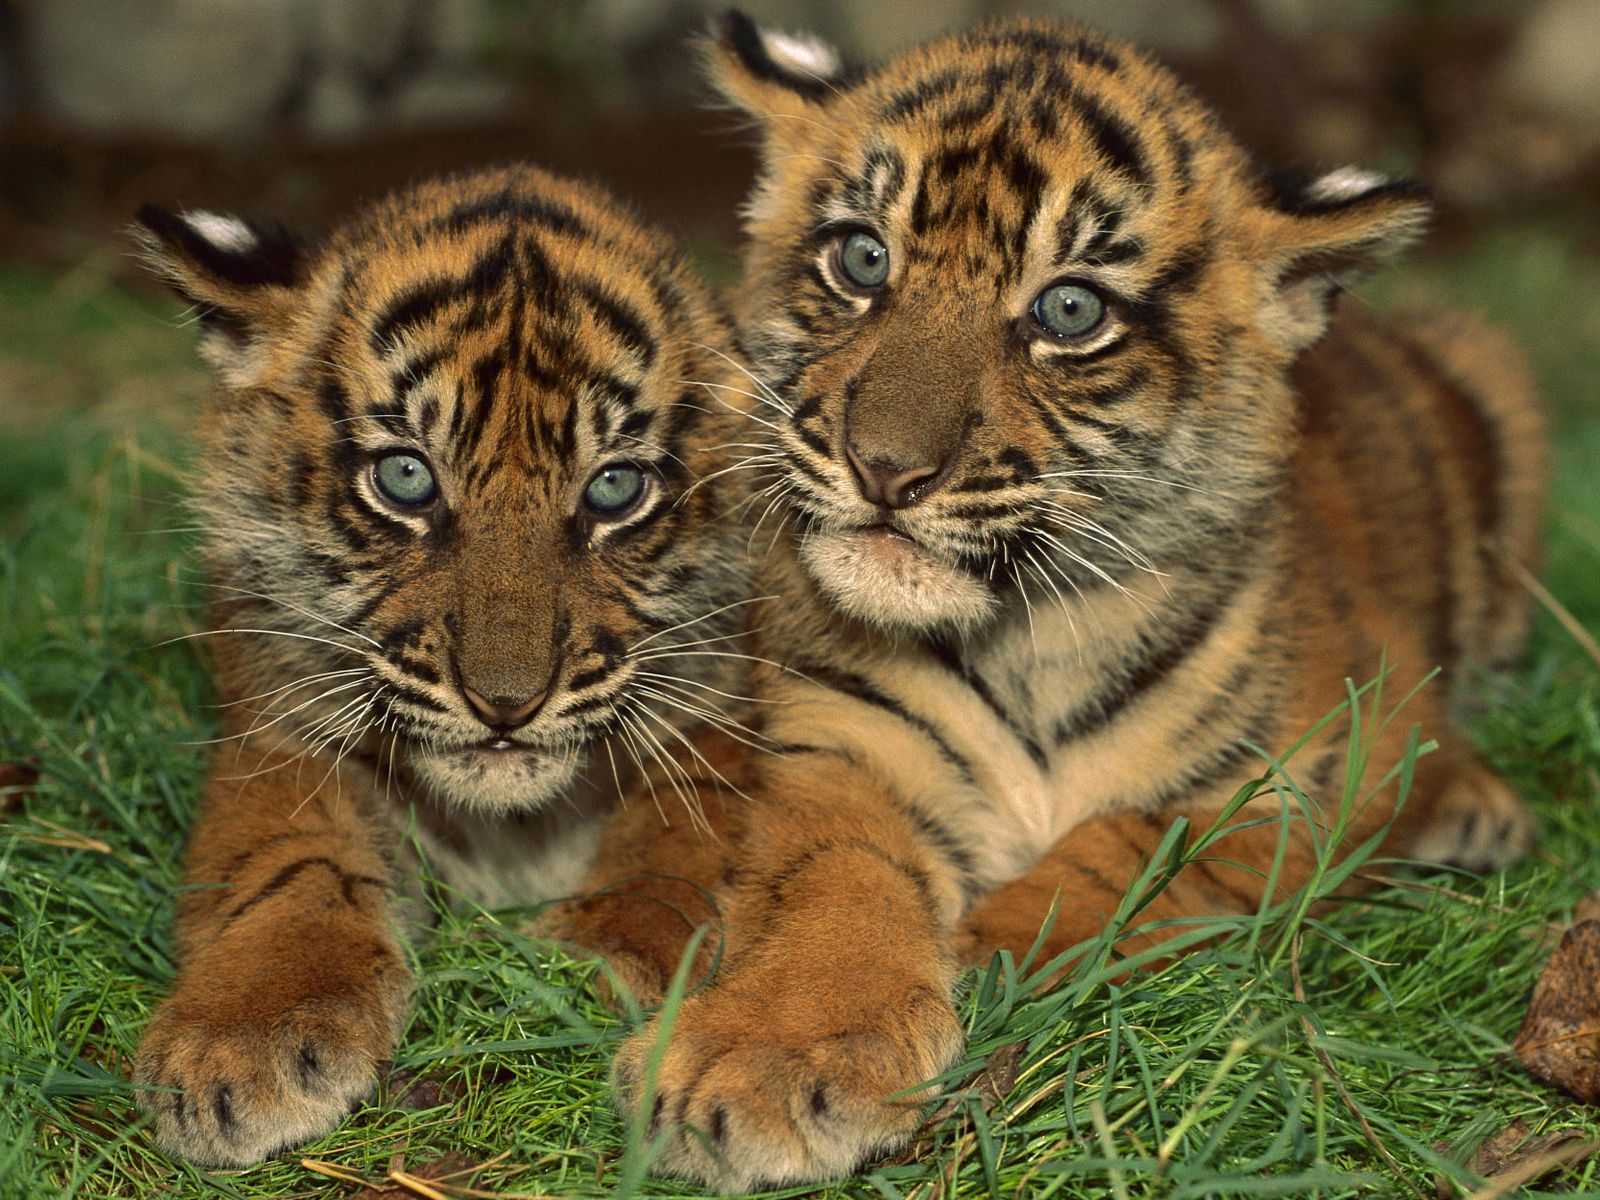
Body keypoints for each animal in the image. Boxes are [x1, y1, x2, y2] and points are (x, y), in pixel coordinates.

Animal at [128, 164, 765, 1167]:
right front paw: (241, 1036)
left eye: (615, 488)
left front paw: (595, 961)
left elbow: (673, 848)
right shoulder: (279, 732)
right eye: (407, 478)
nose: (506, 705)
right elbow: (288, 864)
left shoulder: (722, 720)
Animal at [556, 12, 1548, 1190]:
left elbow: (1131, 847)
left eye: (1069, 310)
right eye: (862, 257)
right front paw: (767, 1057)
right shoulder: (842, 746)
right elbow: (831, 884)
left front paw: (986, 948)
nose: (884, 468)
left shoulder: (1315, 767)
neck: (1026, 634)